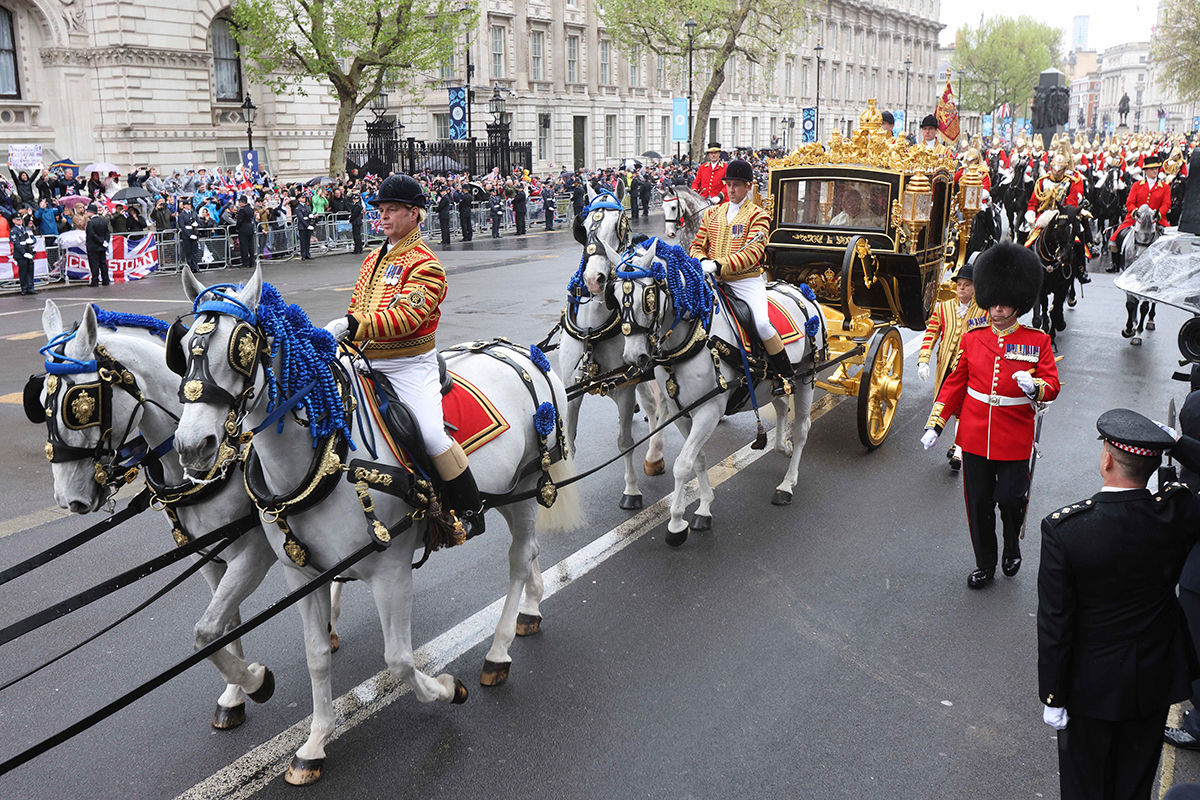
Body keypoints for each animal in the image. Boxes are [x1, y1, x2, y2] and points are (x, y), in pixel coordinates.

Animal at [33, 299, 278, 734]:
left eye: (81, 405)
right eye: (43, 409)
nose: (68, 499)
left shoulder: (252, 553)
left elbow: (205, 632)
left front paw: (255, 680)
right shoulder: (209, 559)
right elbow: (224, 626)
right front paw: (234, 695)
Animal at [170, 268, 580, 786]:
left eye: (240, 347)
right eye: (185, 350)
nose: (192, 446)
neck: (327, 461)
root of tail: (523, 353)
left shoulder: (391, 573)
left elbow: (399, 661)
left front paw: (448, 689)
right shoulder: (303, 576)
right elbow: (314, 656)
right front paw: (312, 739)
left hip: (526, 489)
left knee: (519, 559)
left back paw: (499, 650)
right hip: (509, 493)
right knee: (529, 556)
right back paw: (529, 610)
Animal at [559, 185, 667, 506]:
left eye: (618, 225)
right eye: (582, 228)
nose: (594, 280)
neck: (592, 330)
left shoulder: (624, 388)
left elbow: (625, 441)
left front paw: (631, 490)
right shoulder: (571, 388)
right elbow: (570, 443)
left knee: (662, 405)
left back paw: (655, 454)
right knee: (652, 404)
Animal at [604, 241, 820, 546]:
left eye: (648, 296)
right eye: (612, 296)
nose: (634, 356)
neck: (693, 339)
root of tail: (801, 291)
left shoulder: (709, 410)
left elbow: (683, 464)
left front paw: (676, 524)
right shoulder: (682, 412)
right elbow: (698, 459)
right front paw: (704, 508)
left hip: (806, 378)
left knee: (801, 429)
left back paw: (787, 485)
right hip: (772, 383)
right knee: (780, 406)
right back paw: (782, 446)